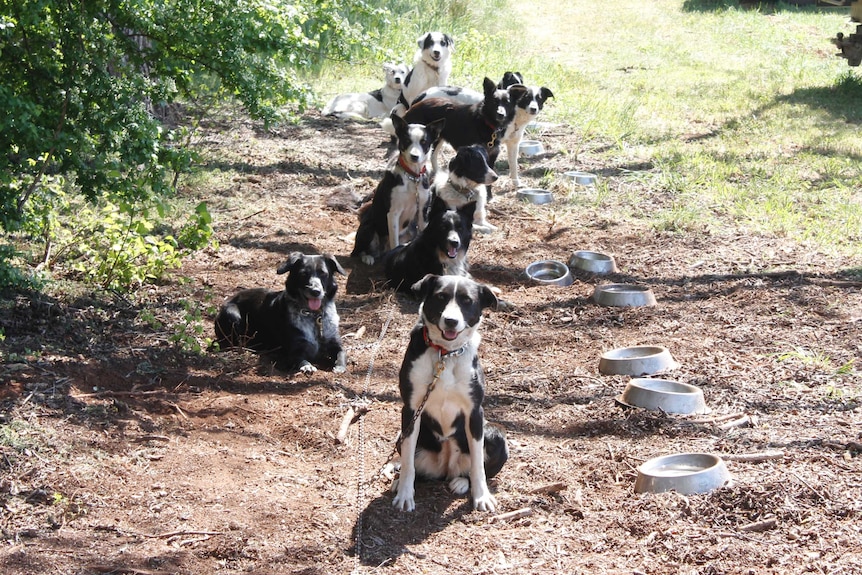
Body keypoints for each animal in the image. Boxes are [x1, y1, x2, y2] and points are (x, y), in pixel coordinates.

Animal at [213, 254, 348, 376]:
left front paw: (340, 366)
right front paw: (307, 367)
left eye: (323, 273)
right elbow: (301, 360)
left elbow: (342, 353)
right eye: (303, 274)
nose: (315, 291)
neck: (314, 315)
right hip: (232, 314)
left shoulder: (335, 342)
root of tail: (230, 299)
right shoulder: (294, 350)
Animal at [352, 113, 446, 266]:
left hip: (409, 231)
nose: (414, 156)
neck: (412, 177)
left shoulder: (422, 212)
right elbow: (394, 242)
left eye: (424, 142)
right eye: (407, 140)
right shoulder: (393, 214)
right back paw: (368, 257)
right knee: (359, 250)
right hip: (368, 228)